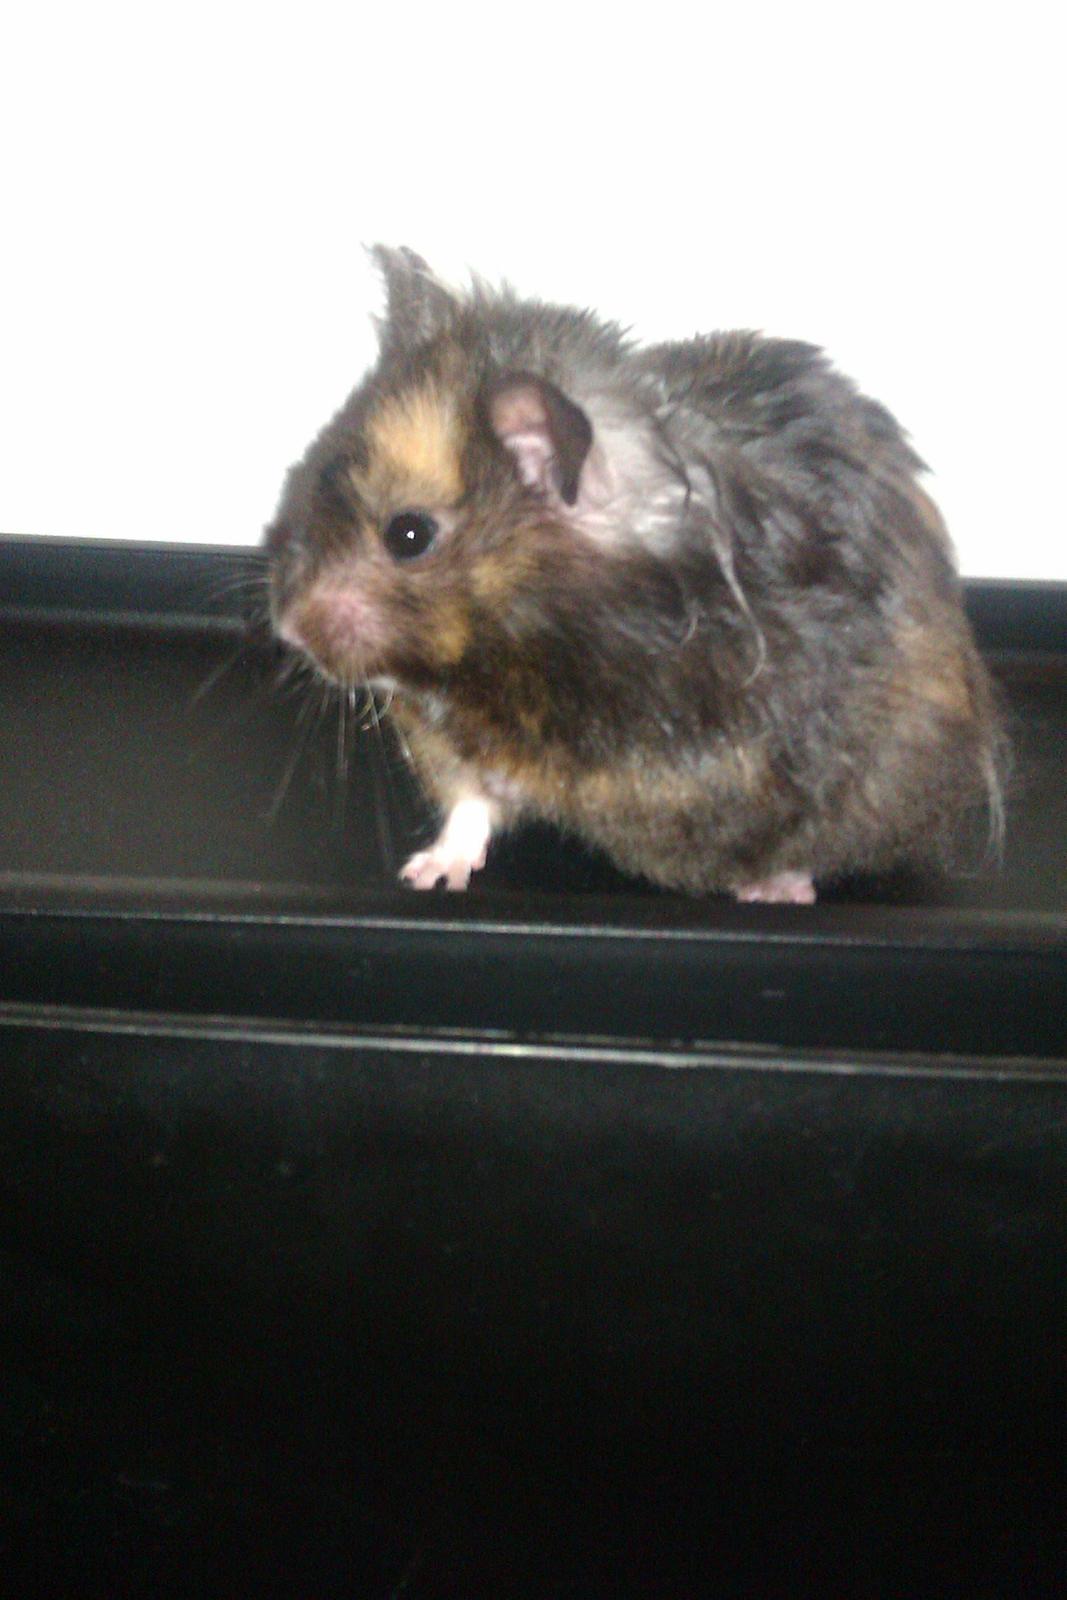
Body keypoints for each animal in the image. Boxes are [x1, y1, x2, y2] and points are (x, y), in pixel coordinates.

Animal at [264, 246, 1005, 902]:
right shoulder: (449, 739)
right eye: (305, 478)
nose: (288, 631)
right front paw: (427, 875)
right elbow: (469, 804)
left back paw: (773, 892)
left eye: (409, 534)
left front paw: (769, 883)